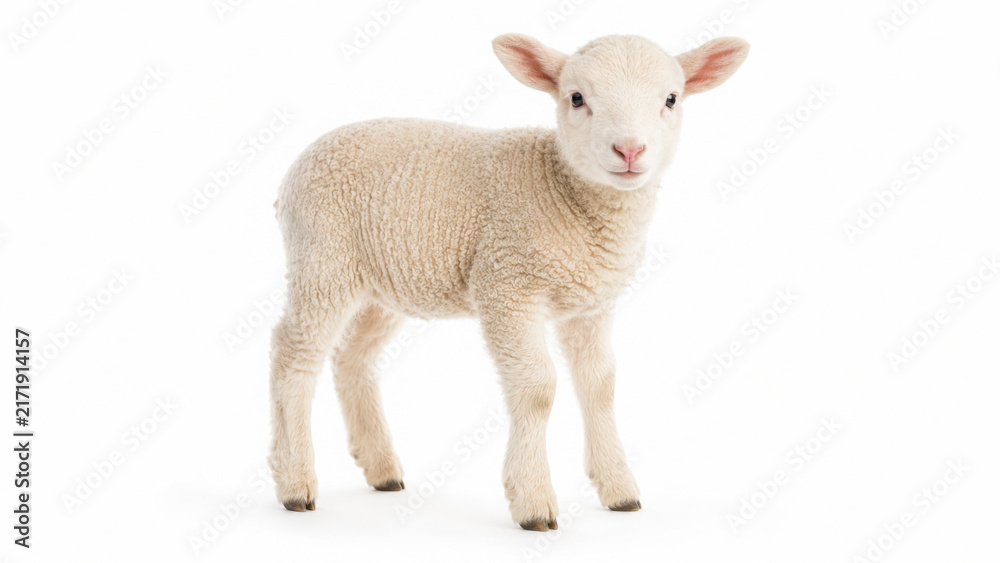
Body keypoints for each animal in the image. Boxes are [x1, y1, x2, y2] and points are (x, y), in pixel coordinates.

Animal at [268, 32, 749, 531]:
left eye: (671, 99)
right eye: (576, 98)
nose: (630, 150)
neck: (563, 190)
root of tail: (298, 166)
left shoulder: (592, 304)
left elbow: (600, 385)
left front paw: (619, 490)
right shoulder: (507, 284)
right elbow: (537, 388)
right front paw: (533, 501)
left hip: (383, 283)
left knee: (353, 357)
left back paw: (381, 469)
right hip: (322, 259)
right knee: (294, 354)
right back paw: (295, 482)